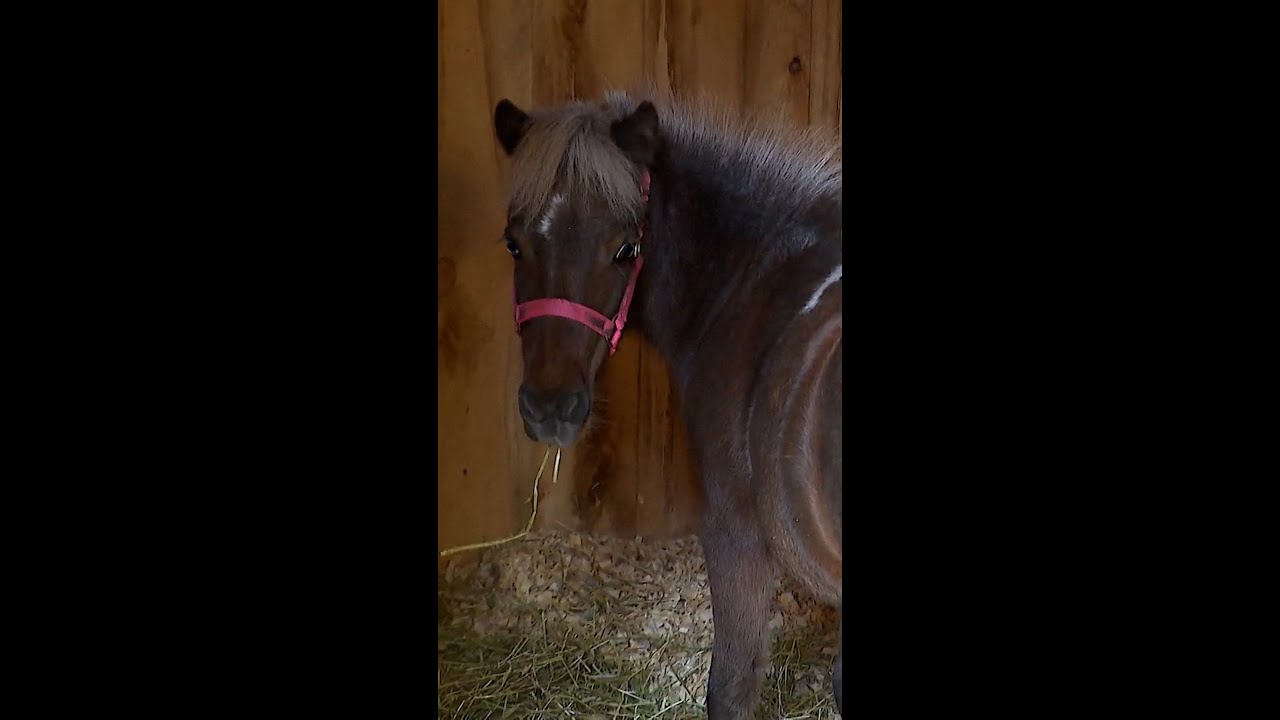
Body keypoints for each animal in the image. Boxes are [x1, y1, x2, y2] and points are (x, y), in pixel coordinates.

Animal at [492, 89, 842, 718]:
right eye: (513, 244)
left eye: (625, 248)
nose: (550, 407)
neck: (760, 281)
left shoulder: (735, 532)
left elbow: (730, 688)